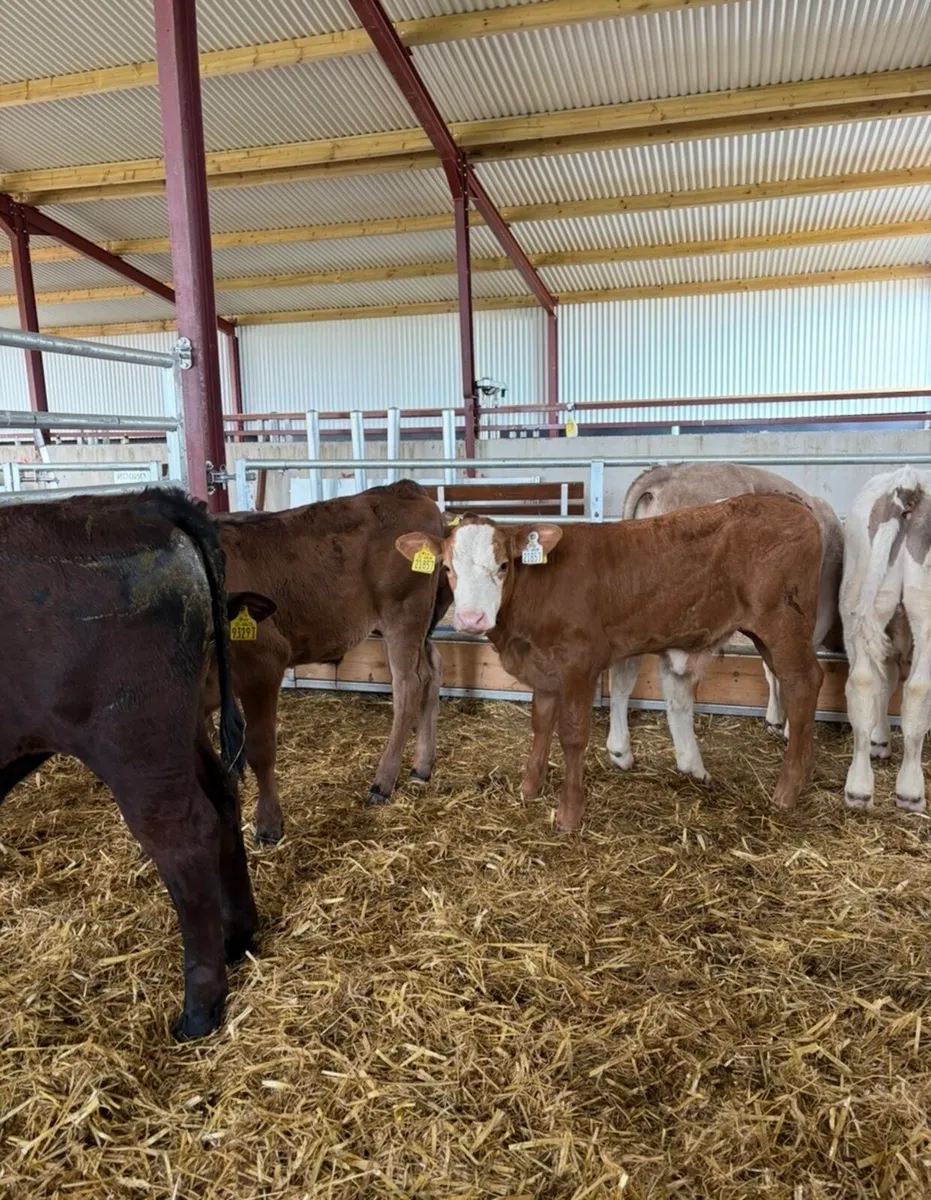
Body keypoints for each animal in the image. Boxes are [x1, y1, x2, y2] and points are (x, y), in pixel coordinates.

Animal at [0, 487, 276, 1040]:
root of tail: (144, 502)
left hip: (134, 742)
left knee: (184, 835)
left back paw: (200, 1010)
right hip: (183, 726)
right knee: (222, 796)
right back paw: (238, 938)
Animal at [207, 480, 451, 844]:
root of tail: (405, 488)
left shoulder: (263, 663)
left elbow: (260, 748)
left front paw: (268, 825)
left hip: (405, 613)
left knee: (410, 683)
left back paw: (383, 781)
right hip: (416, 623)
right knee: (432, 667)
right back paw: (422, 765)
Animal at [396, 494, 824, 832]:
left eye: (502, 566)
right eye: (447, 569)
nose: (471, 619)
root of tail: (792, 504)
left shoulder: (578, 664)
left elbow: (572, 736)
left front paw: (569, 813)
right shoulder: (544, 669)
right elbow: (541, 724)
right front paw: (530, 789)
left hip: (783, 625)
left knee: (804, 684)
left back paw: (787, 790)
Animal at [609, 463, 844, 779]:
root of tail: (669, 473)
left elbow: (771, 668)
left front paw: (775, 719)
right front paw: (787, 727)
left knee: (623, 672)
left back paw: (621, 752)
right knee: (674, 681)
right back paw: (690, 763)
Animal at [840, 466, 931, 812]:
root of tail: (908, 481)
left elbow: (885, 682)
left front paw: (879, 740)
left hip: (856, 602)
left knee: (863, 681)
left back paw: (859, 787)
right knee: (918, 690)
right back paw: (910, 791)